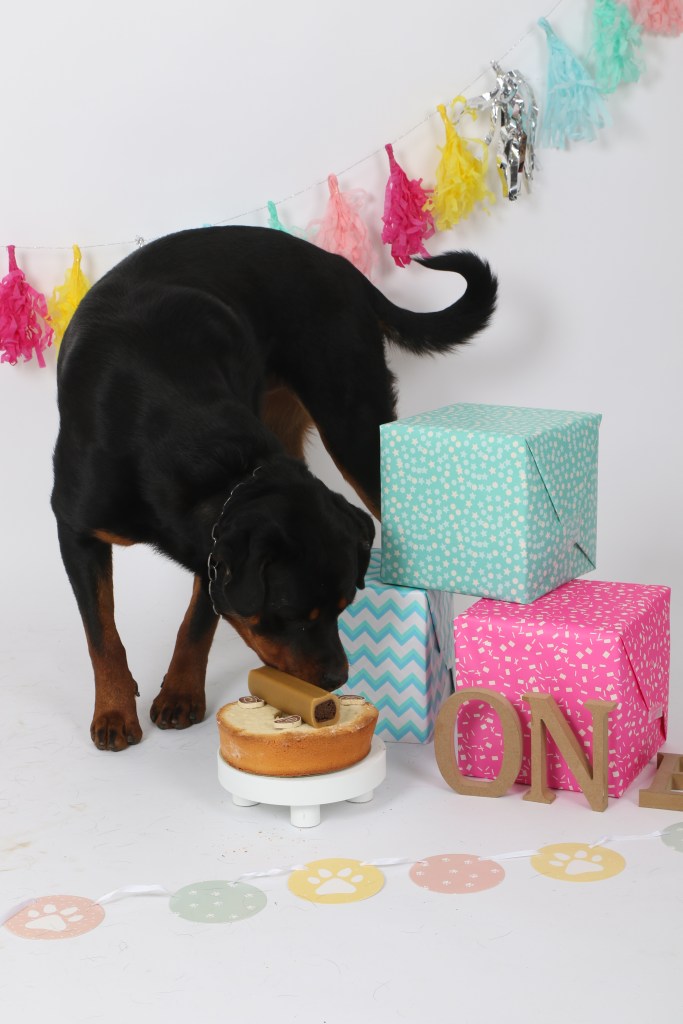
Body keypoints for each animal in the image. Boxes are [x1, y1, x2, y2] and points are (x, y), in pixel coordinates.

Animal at [51, 226, 497, 750]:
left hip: (353, 420)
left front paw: (180, 692)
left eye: (344, 607)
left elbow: (198, 621)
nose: (337, 679)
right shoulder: (76, 528)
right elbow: (102, 633)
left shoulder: (212, 545)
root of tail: (341, 267)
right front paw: (116, 711)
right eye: (295, 616)